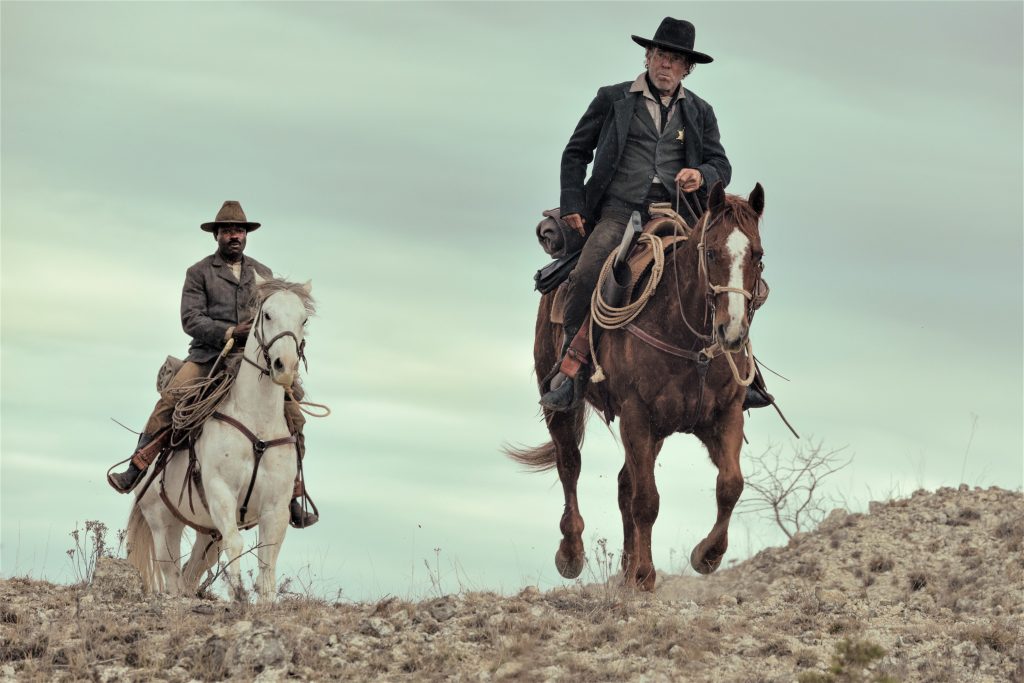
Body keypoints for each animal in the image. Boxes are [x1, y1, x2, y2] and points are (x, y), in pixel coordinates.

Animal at [127, 274, 313, 602]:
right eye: (267, 315)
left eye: (303, 319)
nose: (285, 367)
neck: (257, 425)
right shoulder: (221, 492)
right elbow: (236, 544)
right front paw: (238, 593)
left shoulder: (276, 506)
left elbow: (267, 562)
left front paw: (263, 602)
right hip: (163, 523)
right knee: (172, 571)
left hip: (206, 532)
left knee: (191, 572)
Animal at [507, 183, 765, 593]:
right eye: (710, 252)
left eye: (757, 255)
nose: (732, 331)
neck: (689, 340)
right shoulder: (636, 413)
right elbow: (647, 500)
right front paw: (645, 573)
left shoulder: (723, 415)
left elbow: (730, 484)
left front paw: (706, 556)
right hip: (560, 404)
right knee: (570, 465)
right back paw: (572, 554)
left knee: (623, 483)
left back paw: (626, 571)